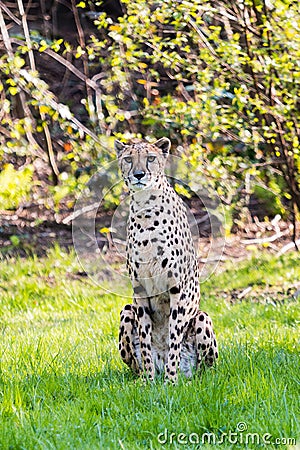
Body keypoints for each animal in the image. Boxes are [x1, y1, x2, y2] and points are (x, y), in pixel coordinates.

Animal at [115, 137, 218, 384]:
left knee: (206, 368)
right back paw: (144, 376)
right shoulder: (140, 289)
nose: (139, 174)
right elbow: (145, 340)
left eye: (151, 158)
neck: (145, 207)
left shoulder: (176, 288)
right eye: (128, 159)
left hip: (202, 318)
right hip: (126, 311)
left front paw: (171, 381)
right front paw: (149, 381)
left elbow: (173, 337)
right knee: (134, 363)